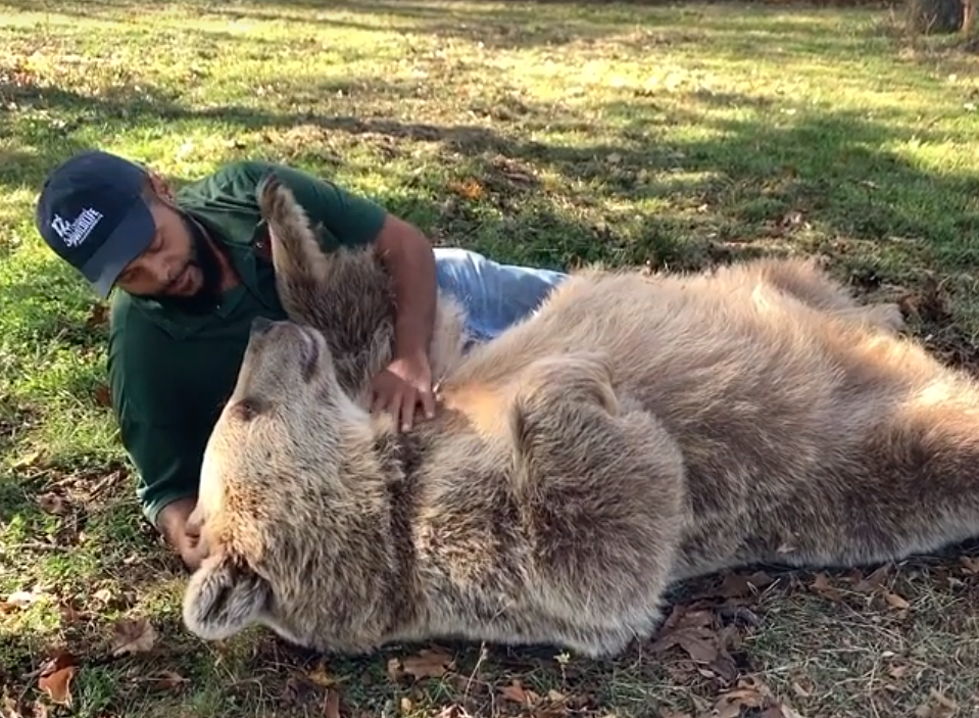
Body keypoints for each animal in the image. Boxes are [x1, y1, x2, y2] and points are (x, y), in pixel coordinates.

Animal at [182, 179, 979, 660]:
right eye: (241, 406)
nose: (263, 332)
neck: (390, 477)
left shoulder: (421, 388)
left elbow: (385, 318)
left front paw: (278, 214)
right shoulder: (456, 546)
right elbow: (608, 550)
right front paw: (571, 380)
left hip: (776, 285)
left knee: (808, 282)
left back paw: (887, 308)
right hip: (857, 458)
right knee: (937, 444)